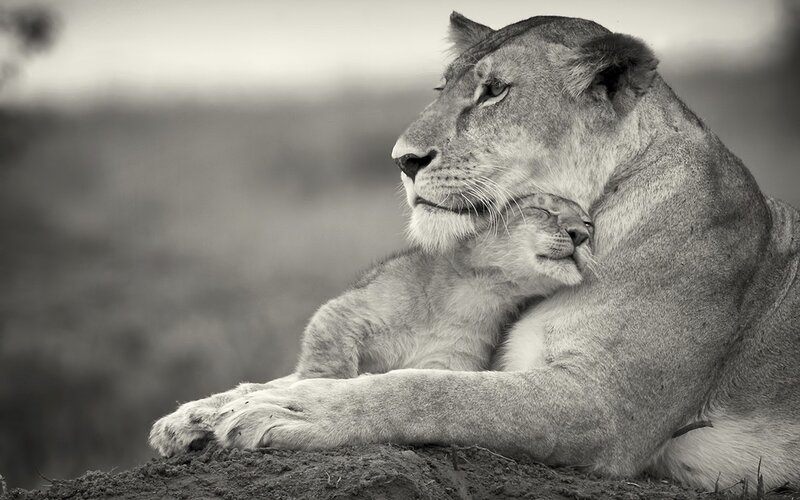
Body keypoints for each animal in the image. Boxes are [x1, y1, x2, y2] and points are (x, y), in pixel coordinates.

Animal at [149, 13, 800, 490]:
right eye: (444, 89)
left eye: (493, 93)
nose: (402, 160)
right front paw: (203, 413)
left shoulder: (607, 406)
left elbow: (428, 391)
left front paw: (290, 412)